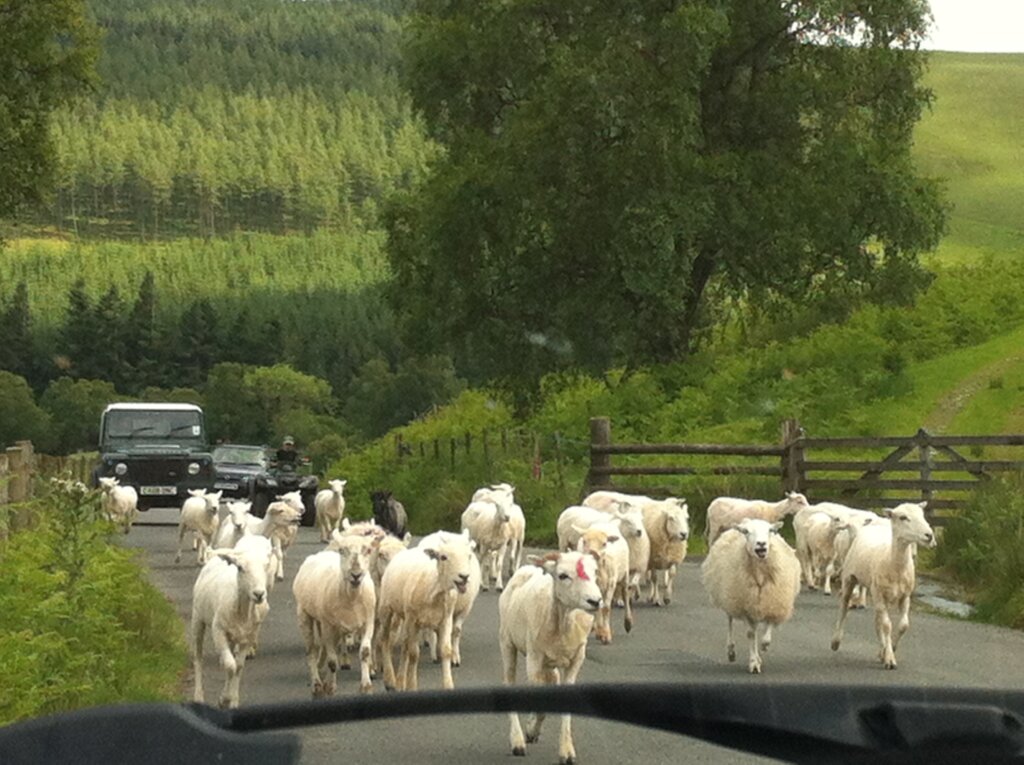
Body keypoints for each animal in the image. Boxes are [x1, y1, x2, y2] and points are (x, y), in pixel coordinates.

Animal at [189, 540, 272, 708]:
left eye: (266, 566)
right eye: (240, 568)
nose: (259, 594)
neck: (242, 611)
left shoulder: (248, 637)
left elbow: (238, 667)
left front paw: (232, 700)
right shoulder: (218, 631)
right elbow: (230, 666)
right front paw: (224, 699)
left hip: (233, 635)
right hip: (197, 618)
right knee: (198, 658)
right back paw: (198, 696)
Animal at [292, 528, 376, 696]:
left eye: (368, 550)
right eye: (342, 550)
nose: (356, 575)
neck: (352, 598)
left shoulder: (368, 622)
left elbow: (364, 652)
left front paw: (366, 686)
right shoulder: (328, 626)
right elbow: (332, 661)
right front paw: (330, 686)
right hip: (304, 614)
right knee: (311, 650)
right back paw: (317, 684)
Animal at [374, 528, 473, 692]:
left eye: (469, 555)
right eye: (443, 557)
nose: (464, 577)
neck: (434, 590)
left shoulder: (445, 619)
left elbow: (445, 651)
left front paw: (448, 685)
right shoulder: (413, 619)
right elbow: (414, 654)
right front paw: (412, 686)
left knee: (405, 646)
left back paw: (400, 681)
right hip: (386, 609)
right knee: (385, 641)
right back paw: (390, 680)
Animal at [700, 518, 802, 671]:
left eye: (770, 530)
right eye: (746, 532)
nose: (761, 544)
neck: (759, 576)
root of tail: (746, 519)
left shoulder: (773, 603)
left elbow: (766, 634)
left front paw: (764, 647)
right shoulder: (744, 607)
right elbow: (750, 634)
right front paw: (753, 662)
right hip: (731, 597)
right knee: (731, 622)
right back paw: (731, 651)